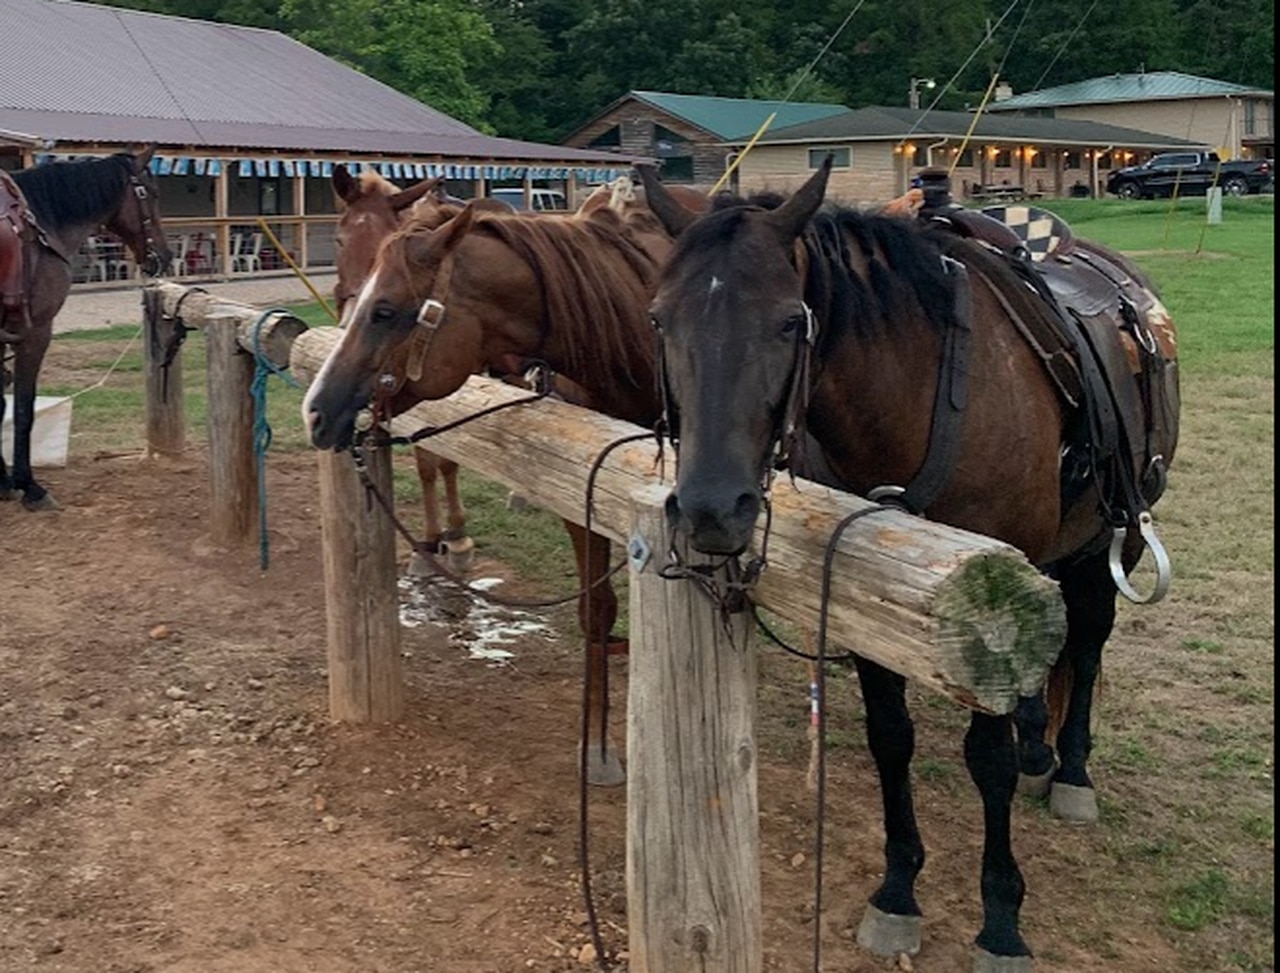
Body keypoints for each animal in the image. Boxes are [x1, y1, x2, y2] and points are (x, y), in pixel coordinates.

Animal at [0, 148, 170, 512]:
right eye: (151, 193)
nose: (164, 256)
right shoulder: (36, 333)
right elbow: (22, 409)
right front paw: (29, 486)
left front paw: (5, 482)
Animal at [637, 157, 1177, 967]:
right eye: (661, 319)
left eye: (790, 321)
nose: (710, 508)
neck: (919, 396)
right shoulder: (873, 594)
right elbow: (890, 738)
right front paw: (897, 892)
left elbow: (985, 758)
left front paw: (1001, 918)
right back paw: (1038, 748)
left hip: (1112, 539)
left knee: (1085, 646)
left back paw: (1072, 769)